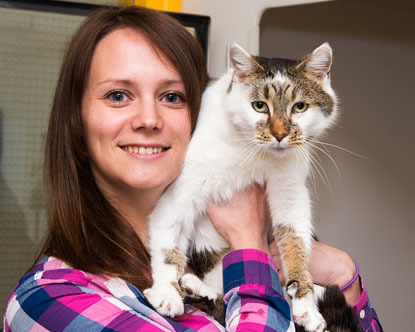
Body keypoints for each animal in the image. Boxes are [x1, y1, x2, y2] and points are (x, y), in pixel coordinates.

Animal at [145, 42, 340, 332]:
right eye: (259, 106)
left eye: (300, 107)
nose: (280, 134)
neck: (257, 155)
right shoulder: (181, 190)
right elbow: (168, 246)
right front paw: (166, 293)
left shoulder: (290, 187)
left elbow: (296, 238)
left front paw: (305, 303)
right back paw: (193, 287)